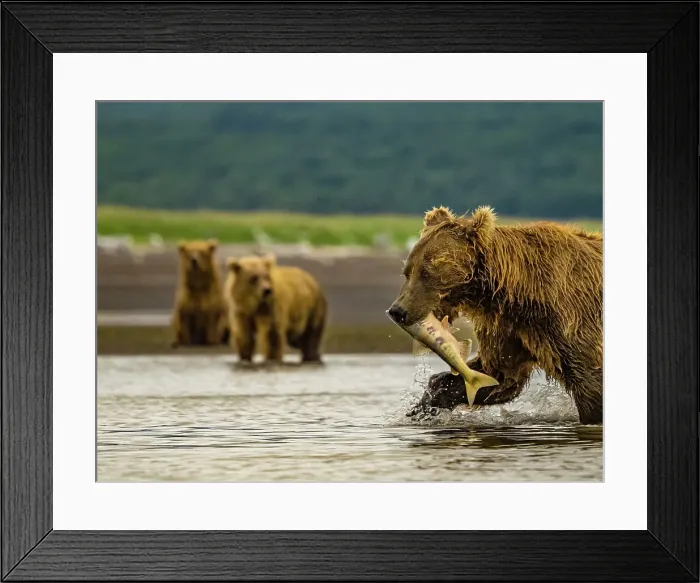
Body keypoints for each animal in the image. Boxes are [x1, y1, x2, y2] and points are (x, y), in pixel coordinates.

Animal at [388, 206, 603, 425]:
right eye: (407, 271)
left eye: (426, 272)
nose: (397, 311)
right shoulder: (510, 326)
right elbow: (498, 374)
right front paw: (423, 404)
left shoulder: (569, 316)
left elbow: (589, 379)